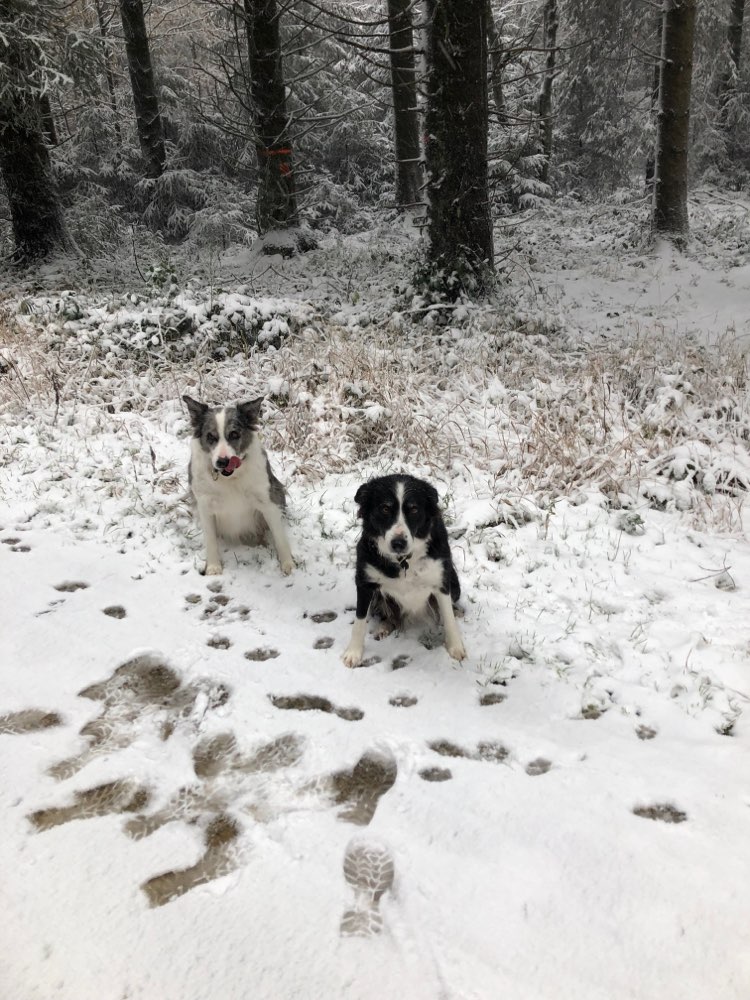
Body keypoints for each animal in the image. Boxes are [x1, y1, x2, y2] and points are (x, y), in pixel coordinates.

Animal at [184, 392, 296, 576]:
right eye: (211, 437)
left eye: (234, 434)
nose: (223, 462)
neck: (230, 478)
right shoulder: (205, 505)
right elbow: (210, 540)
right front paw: (213, 567)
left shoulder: (268, 501)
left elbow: (280, 537)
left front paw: (288, 564)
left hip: (278, 491)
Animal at [346, 474, 464, 668]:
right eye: (385, 508)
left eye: (414, 509)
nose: (398, 543)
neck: (403, 561)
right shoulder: (365, 582)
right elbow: (359, 620)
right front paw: (353, 652)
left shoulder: (440, 581)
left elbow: (448, 618)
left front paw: (455, 647)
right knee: (389, 617)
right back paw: (384, 627)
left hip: (454, 583)